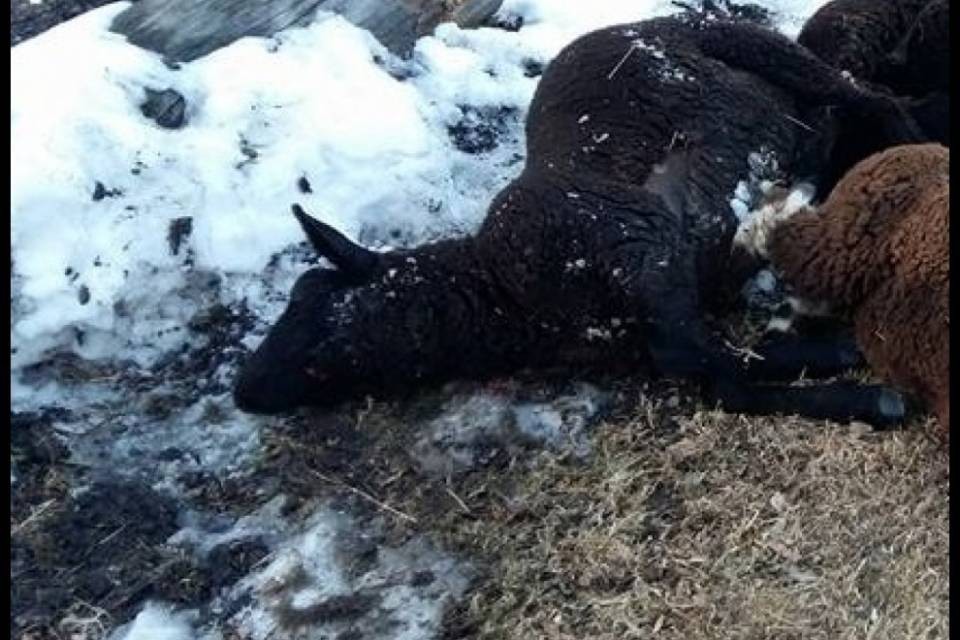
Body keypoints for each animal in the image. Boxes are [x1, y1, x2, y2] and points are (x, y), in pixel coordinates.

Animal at [234, 14, 928, 425]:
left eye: (319, 305)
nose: (243, 392)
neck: (502, 289)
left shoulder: (642, 253)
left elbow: (712, 368)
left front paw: (855, 378)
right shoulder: (658, 306)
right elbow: (723, 370)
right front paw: (841, 371)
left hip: (750, 45)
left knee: (873, 98)